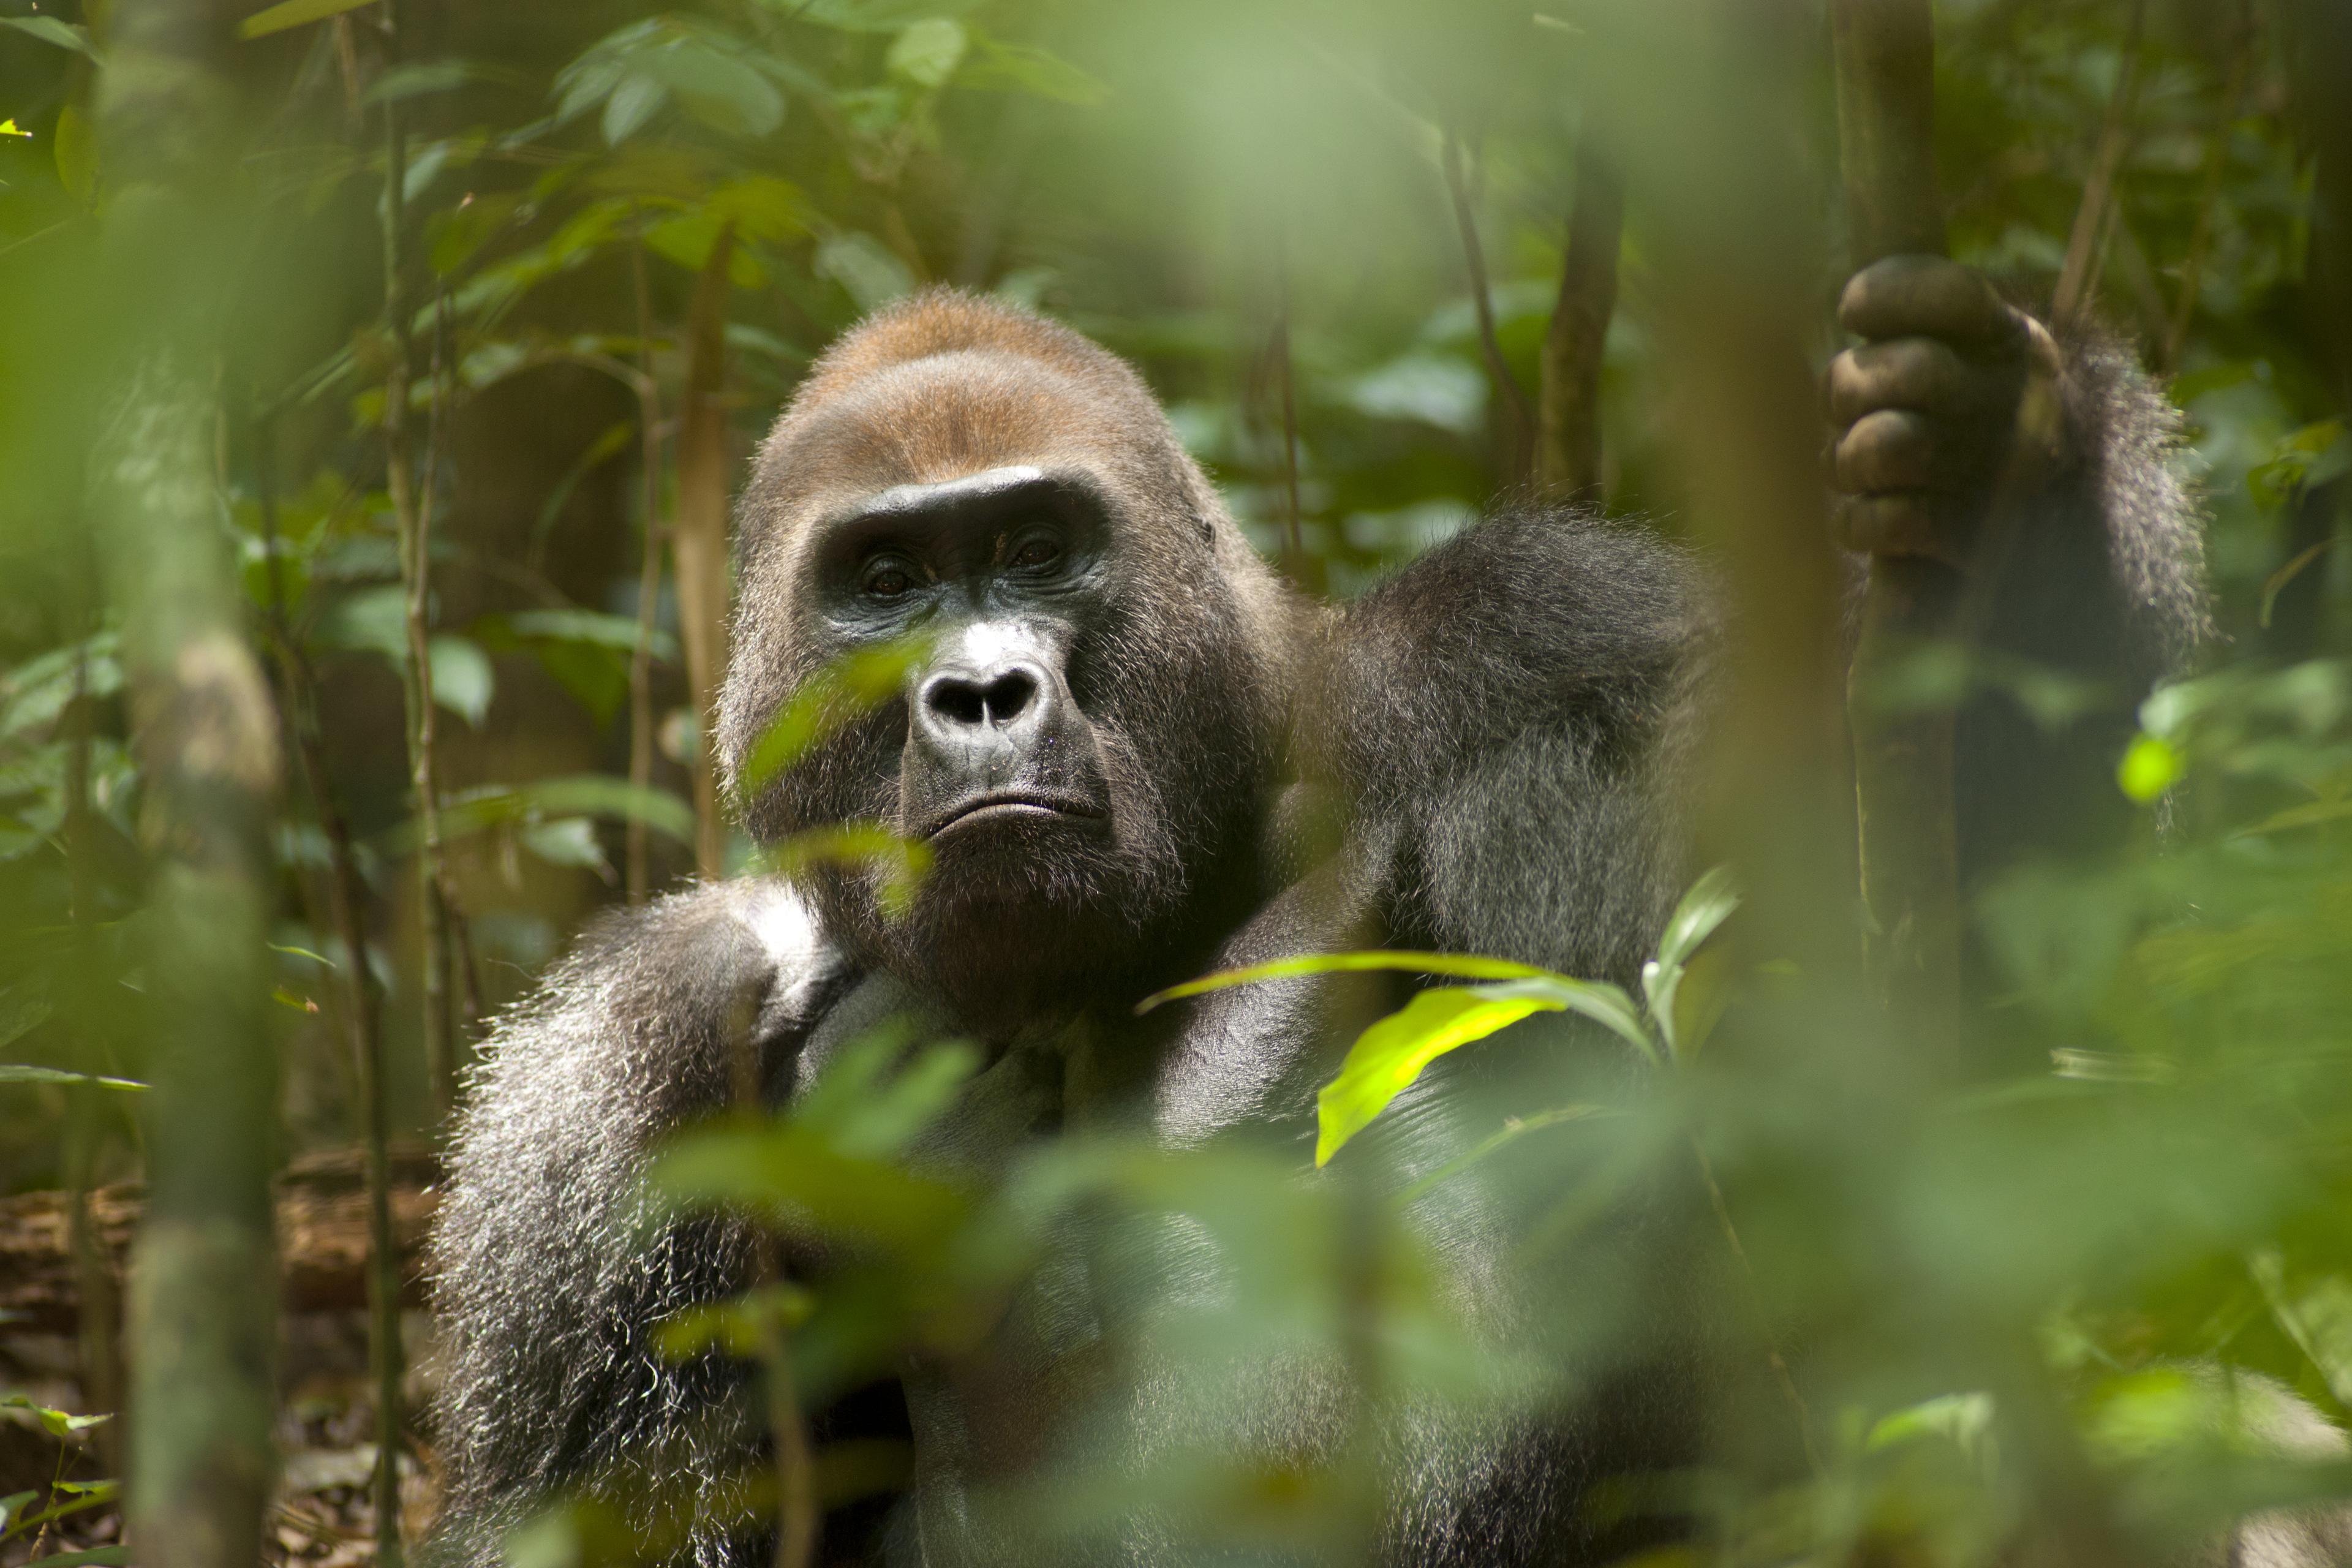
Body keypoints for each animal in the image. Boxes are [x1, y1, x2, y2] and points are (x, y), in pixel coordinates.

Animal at [426, 253, 2243, 1567]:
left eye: (1038, 544)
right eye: (883, 584)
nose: (984, 693)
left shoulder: (1547, 651)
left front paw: (2010, 453)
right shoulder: (627, 1064)